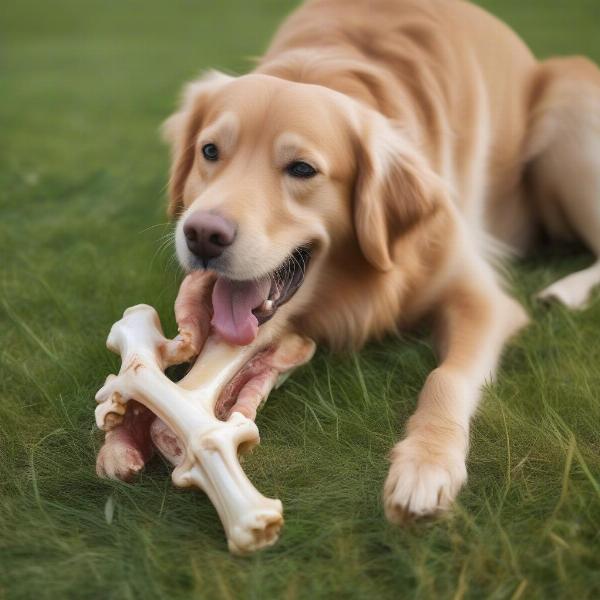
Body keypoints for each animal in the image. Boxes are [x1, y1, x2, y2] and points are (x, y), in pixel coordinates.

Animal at [96, 0, 596, 524]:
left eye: (301, 169)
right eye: (209, 151)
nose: (202, 236)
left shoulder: (480, 297)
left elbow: (446, 376)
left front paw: (425, 464)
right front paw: (130, 430)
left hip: (572, 129)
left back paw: (565, 291)